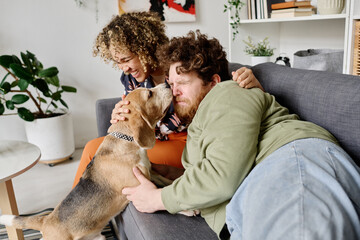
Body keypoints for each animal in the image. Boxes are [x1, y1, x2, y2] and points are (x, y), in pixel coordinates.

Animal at [0, 83, 174, 239]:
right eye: (149, 94)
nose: (167, 84)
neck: (126, 140)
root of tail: (46, 220)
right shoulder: (140, 183)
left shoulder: (151, 172)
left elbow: (166, 181)